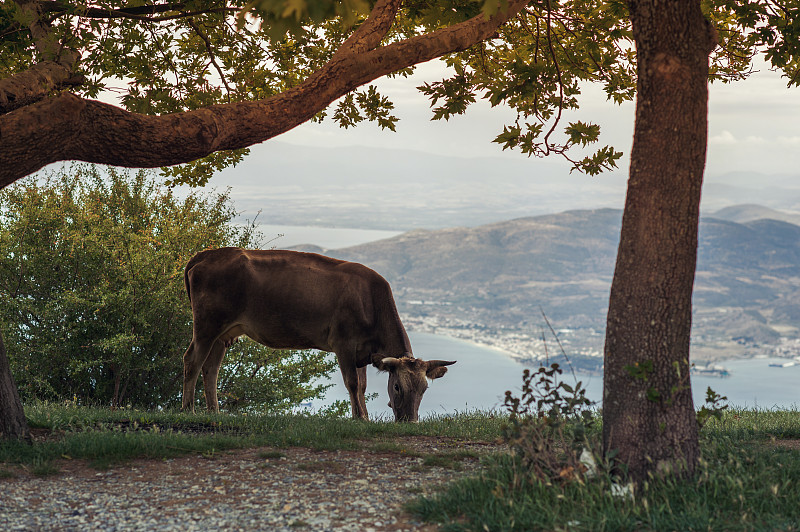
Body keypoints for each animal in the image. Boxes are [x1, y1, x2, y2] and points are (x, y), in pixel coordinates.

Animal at [182, 247, 456, 422]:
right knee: (192, 360)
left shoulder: (362, 352)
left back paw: (214, 412)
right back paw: (189, 410)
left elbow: (362, 386)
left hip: (223, 333)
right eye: (397, 386)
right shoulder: (343, 343)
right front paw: (359, 418)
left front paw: (365, 417)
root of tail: (206, 254)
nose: (410, 421)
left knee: (211, 369)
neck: (371, 300)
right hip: (206, 325)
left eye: (424, 389)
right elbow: (352, 383)